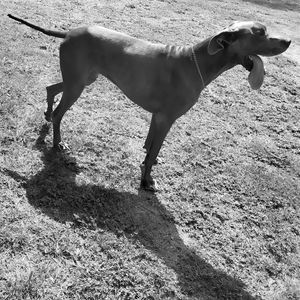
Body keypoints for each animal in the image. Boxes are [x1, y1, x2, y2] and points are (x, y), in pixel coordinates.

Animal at [8, 14, 290, 191]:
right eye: (260, 32)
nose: (288, 40)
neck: (196, 63)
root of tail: (68, 32)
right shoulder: (167, 118)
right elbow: (154, 148)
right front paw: (147, 182)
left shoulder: (158, 117)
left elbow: (150, 146)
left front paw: (148, 163)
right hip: (77, 85)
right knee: (59, 114)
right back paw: (57, 142)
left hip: (81, 80)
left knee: (51, 89)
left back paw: (46, 117)